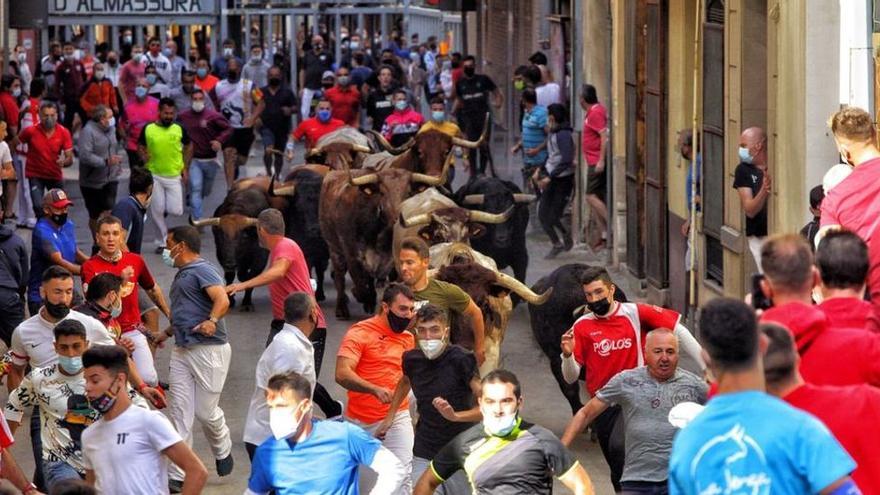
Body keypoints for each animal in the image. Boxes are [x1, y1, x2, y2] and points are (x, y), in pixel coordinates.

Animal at [192, 184, 272, 312]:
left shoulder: (261, 258)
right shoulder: (221, 255)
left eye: (244, 236)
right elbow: (230, 276)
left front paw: (247, 303)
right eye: (221, 236)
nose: (230, 263)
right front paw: (230, 300)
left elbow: (252, 277)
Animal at [266, 165, 332, 300]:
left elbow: (320, 271)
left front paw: (320, 294)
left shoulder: (323, 253)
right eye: (299, 206)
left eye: (320, 204)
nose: (316, 229)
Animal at [320, 161, 450, 320]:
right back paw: (342, 308)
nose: (397, 218)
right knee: (339, 277)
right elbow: (360, 285)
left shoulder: (392, 260)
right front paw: (359, 295)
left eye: (408, 193)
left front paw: (370, 300)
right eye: (382, 192)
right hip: (334, 247)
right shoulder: (352, 255)